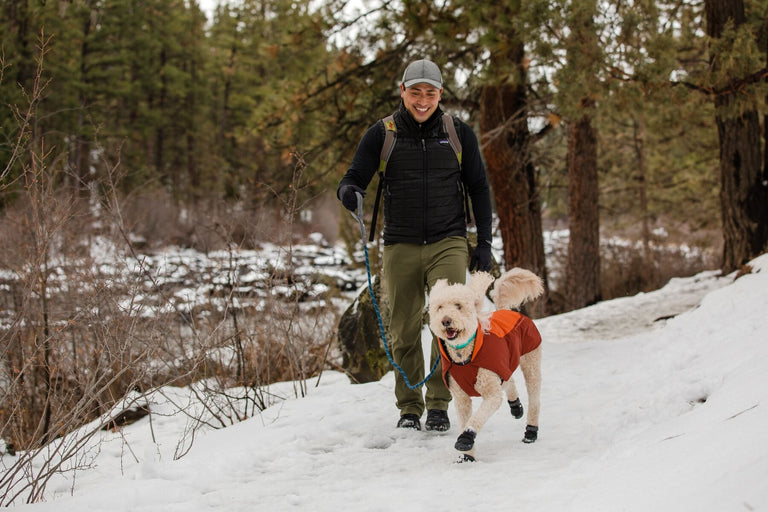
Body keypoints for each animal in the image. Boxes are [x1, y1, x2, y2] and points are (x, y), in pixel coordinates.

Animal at [426, 270, 544, 462]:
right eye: (440, 307)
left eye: (458, 306)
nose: (446, 321)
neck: (463, 355)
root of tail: (505, 309)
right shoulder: (461, 398)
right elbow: (465, 419)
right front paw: (467, 457)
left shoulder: (491, 393)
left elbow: (476, 418)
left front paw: (466, 438)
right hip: (503, 365)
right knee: (508, 380)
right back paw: (515, 406)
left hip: (531, 361)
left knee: (534, 400)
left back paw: (531, 432)